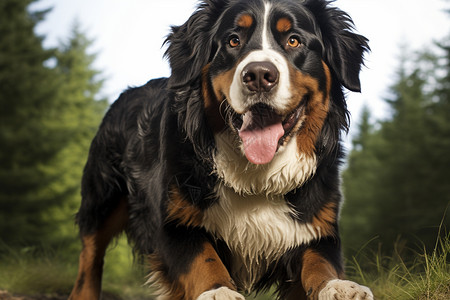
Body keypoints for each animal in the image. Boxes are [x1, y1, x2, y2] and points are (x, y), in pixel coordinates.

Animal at [69, 0, 372, 300]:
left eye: (294, 40)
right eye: (233, 40)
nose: (259, 75)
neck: (258, 176)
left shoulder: (316, 226)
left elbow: (321, 262)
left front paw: (340, 286)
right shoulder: (172, 224)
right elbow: (204, 259)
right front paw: (219, 291)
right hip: (103, 199)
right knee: (90, 256)